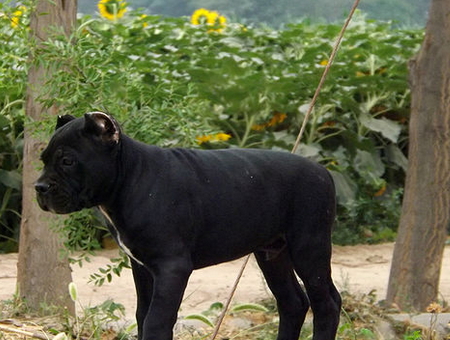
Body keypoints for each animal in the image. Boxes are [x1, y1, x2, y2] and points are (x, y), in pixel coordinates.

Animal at [36, 113, 342, 338]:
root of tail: (323, 171)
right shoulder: (143, 267)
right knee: (293, 303)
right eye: (43, 160)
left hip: (308, 247)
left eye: (67, 161)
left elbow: (157, 320)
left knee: (326, 304)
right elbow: (142, 314)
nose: (39, 187)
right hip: (273, 254)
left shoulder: (172, 267)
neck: (131, 178)